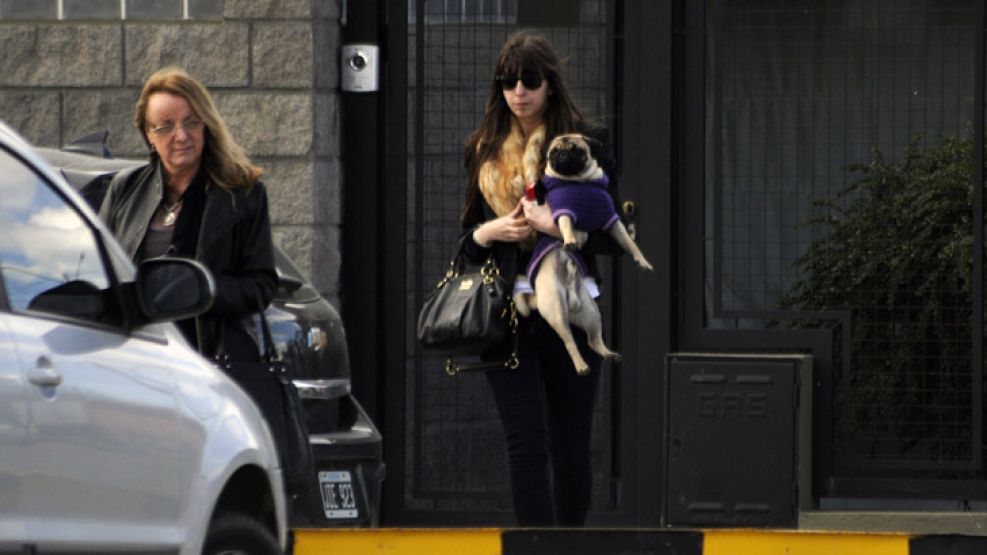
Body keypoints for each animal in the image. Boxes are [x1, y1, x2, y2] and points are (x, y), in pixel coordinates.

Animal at [516, 133, 656, 376]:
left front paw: (642, 261)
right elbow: (568, 227)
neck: (579, 182)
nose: (562, 155)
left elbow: (629, 243)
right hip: (557, 310)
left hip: (591, 313)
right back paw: (581, 365)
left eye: (576, 150)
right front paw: (571, 241)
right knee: (570, 342)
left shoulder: (611, 220)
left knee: (593, 341)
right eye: (553, 152)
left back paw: (609, 354)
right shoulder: (564, 212)